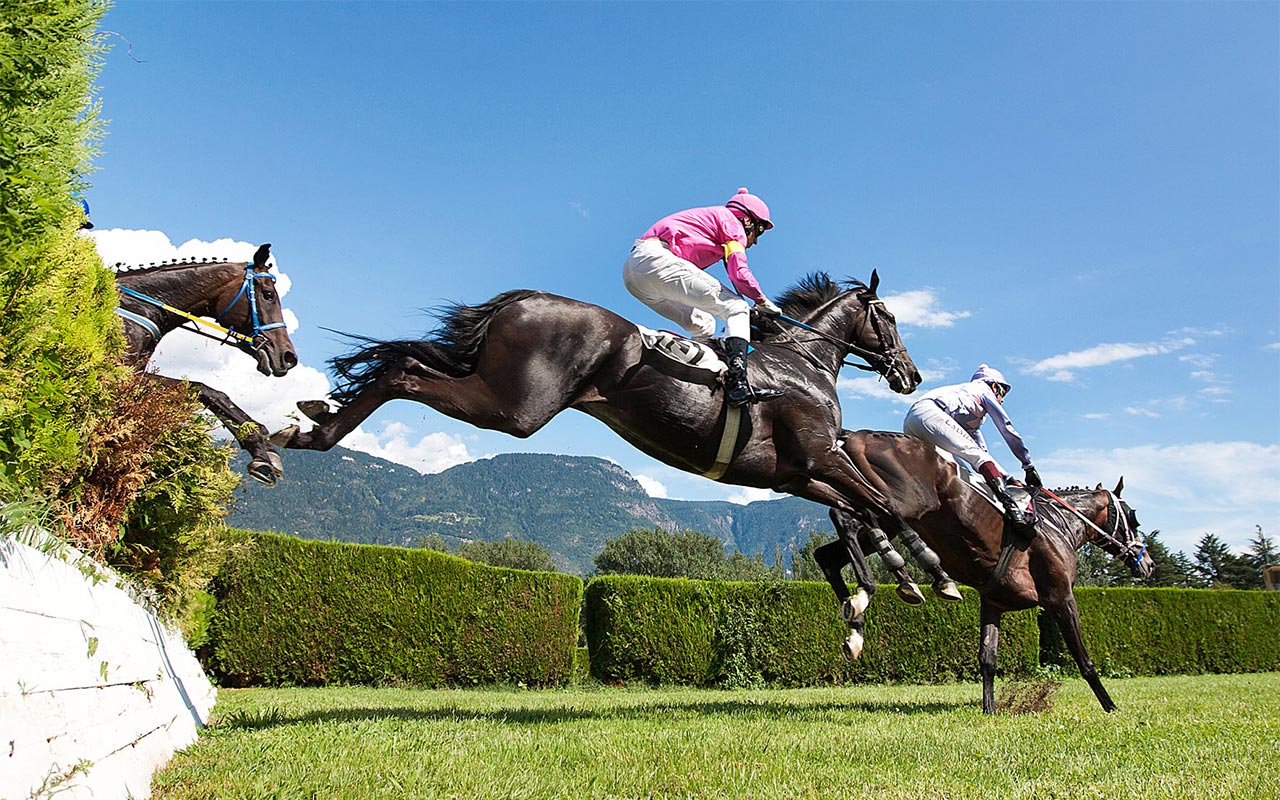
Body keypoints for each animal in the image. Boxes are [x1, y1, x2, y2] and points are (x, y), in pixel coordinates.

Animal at [112, 240, 296, 483]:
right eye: (268, 295)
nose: (289, 357)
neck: (138, 304)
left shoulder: (137, 374)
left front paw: (265, 445)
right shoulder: (122, 375)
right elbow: (208, 390)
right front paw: (258, 445)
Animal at [272, 271, 921, 527]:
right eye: (889, 317)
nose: (911, 374)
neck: (800, 364)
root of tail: (522, 299)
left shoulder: (792, 475)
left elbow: (864, 513)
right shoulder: (820, 456)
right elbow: (887, 506)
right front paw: (926, 579)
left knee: (402, 363)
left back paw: (310, 426)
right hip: (515, 407)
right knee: (405, 372)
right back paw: (311, 432)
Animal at [824, 430, 1157, 711]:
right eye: (1133, 517)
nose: (1148, 564)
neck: (1058, 524)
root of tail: (856, 435)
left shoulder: (993, 602)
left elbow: (987, 658)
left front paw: (990, 709)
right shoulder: (1061, 597)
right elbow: (1083, 658)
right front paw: (1110, 707)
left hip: (882, 510)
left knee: (828, 553)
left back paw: (859, 617)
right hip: (902, 503)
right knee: (848, 516)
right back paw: (905, 578)